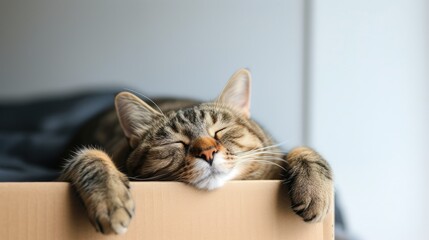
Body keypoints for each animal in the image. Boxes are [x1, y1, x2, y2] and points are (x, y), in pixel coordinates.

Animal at [58, 68, 332, 235]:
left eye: (220, 131)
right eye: (177, 143)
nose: (208, 152)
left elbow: (304, 150)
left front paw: (314, 190)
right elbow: (90, 157)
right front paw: (110, 200)